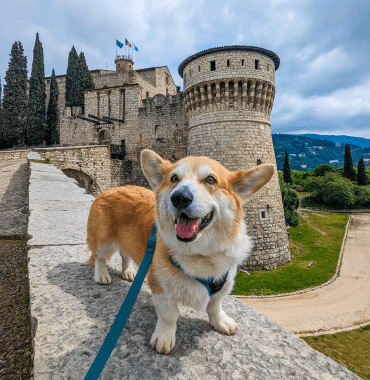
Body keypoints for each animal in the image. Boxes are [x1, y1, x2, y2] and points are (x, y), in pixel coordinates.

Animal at [85, 150, 274, 354]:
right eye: (174, 178)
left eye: (210, 179)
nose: (179, 198)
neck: (200, 253)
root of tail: (109, 189)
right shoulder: (160, 288)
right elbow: (169, 315)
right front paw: (164, 337)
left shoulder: (224, 280)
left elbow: (215, 305)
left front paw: (221, 322)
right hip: (103, 240)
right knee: (100, 257)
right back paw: (102, 275)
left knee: (125, 253)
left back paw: (128, 272)